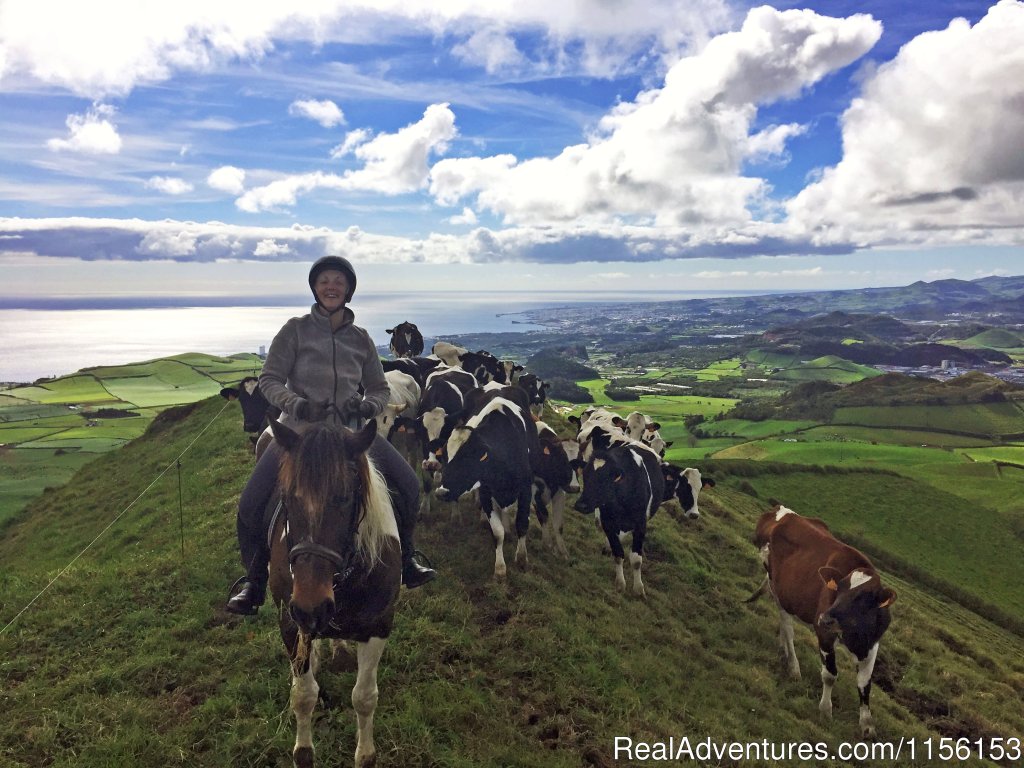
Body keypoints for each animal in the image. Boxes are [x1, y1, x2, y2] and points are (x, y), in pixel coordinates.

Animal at [268, 421, 399, 768]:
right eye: (287, 497)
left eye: (344, 497)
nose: (311, 607)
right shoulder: (291, 624)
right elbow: (303, 695)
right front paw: (303, 753)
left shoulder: (378, 626)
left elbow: (364, 697)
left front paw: (365, 756)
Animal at [436, 397, 540, 577]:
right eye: (443, 456)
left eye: (467, 457)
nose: (441, 492)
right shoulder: (486, 492)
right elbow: (497, 532)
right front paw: (500, 569)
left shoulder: (525, 489)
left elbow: (522, 523)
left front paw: (521, 559)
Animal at [753, 505, 897, 741]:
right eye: (838, 589)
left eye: (863, 598)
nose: (825, 618)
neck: (856, 636)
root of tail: (782, 510)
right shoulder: (825, 636)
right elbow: (830, 675)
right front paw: (825, 710)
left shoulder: (872, 644)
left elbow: (864, 684)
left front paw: (867, 725)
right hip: (779, 589)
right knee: (787, 626)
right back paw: (793, 666)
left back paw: (783, 649)